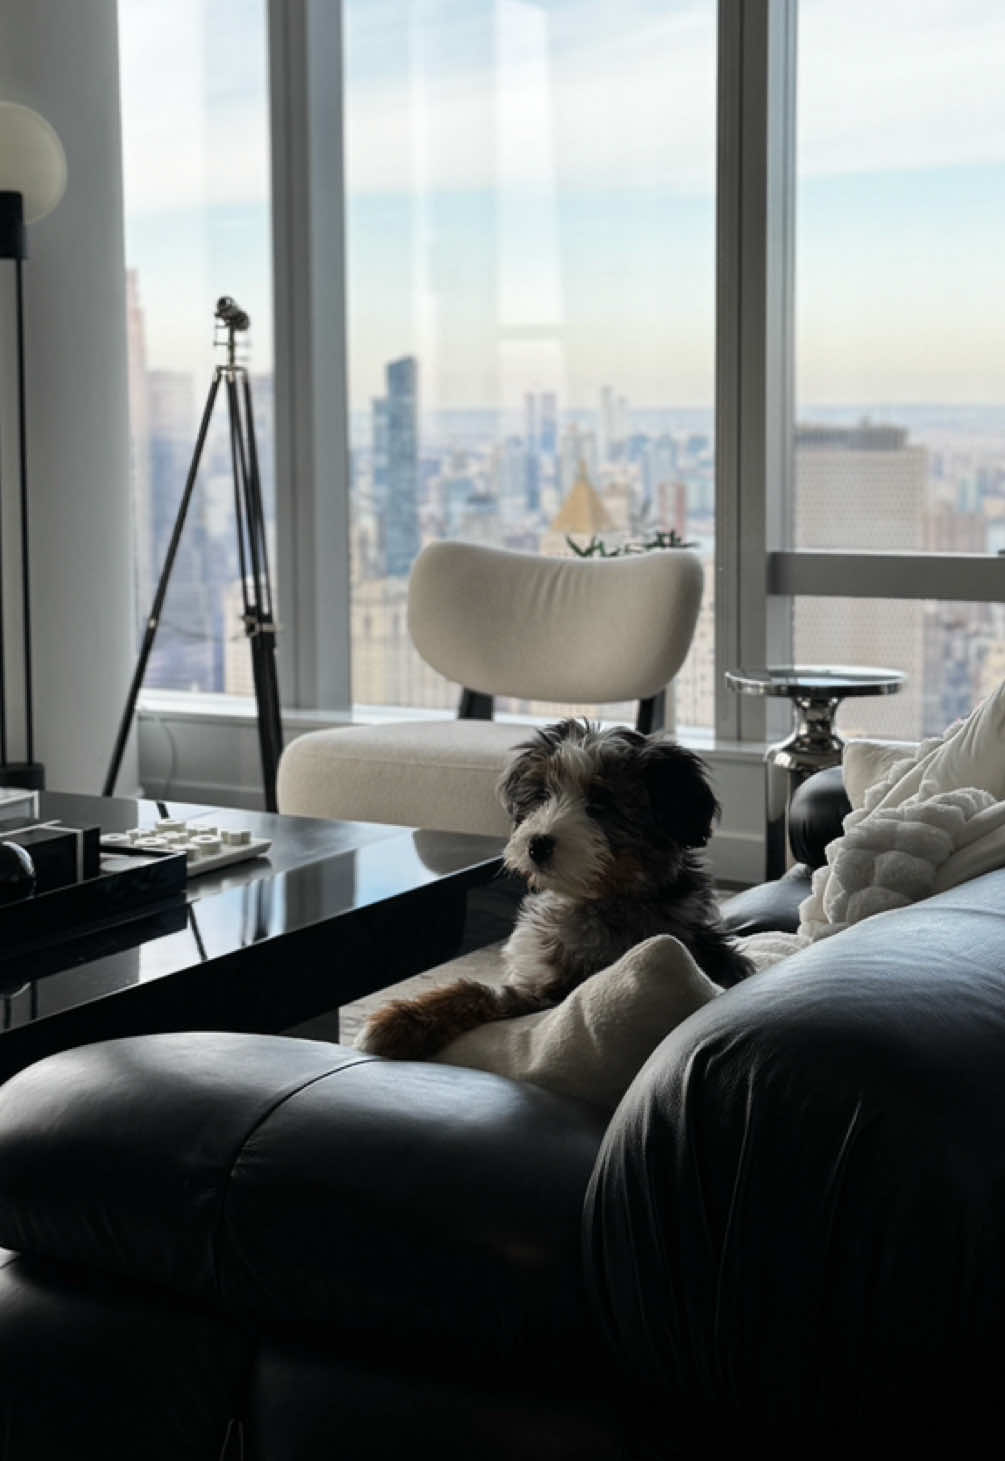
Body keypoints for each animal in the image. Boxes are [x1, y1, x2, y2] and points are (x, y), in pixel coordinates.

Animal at [357, 718, 747, 1063]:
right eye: (542, 795)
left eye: (600, 805)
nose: (537, 844)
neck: (606, 895)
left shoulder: (552, 993)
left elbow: (484, 992)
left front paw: (396, 1023)